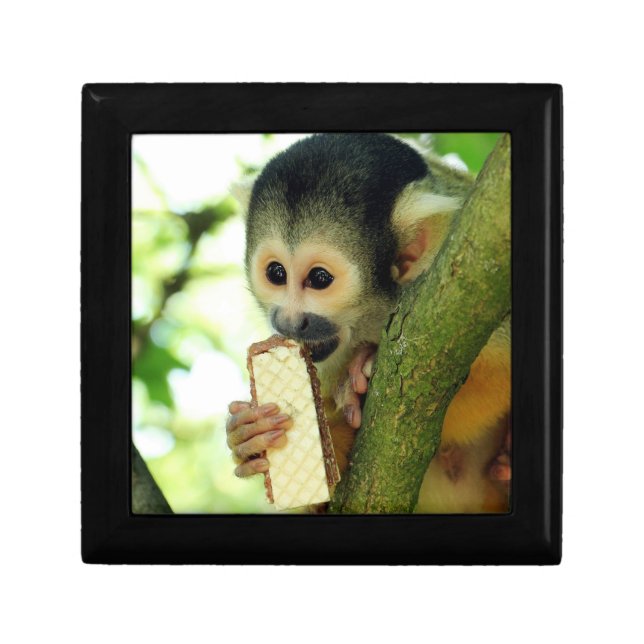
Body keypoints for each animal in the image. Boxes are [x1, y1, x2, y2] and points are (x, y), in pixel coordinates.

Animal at [225, 133, 511, 513]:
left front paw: (362, 372)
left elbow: (491, 375)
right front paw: (249, 436)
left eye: (319, 279)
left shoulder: (471, 281)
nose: (288, 322)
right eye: (276, 273)